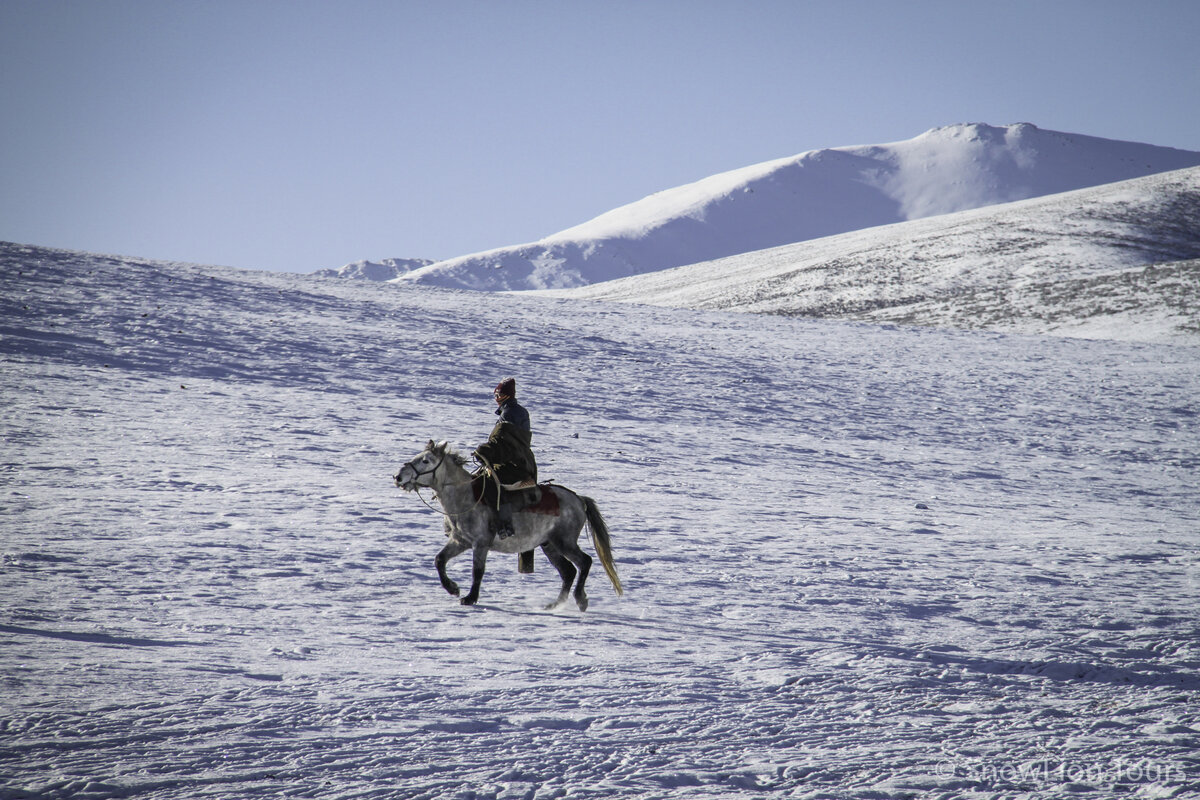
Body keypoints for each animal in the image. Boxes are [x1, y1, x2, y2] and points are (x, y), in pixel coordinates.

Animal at [393, 441, 624, 609]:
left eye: (425, 460)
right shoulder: (460, 541)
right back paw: (555, 604)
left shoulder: (481, 543)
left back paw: (580, 599)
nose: (398, 477)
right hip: (549, 545)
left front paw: (470, 598)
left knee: (584, 562)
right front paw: (453, 588)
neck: (465, 497)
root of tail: (579, 499)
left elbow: (478, 571)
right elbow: (439, 560)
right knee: (568, 572)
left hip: (564, 541)